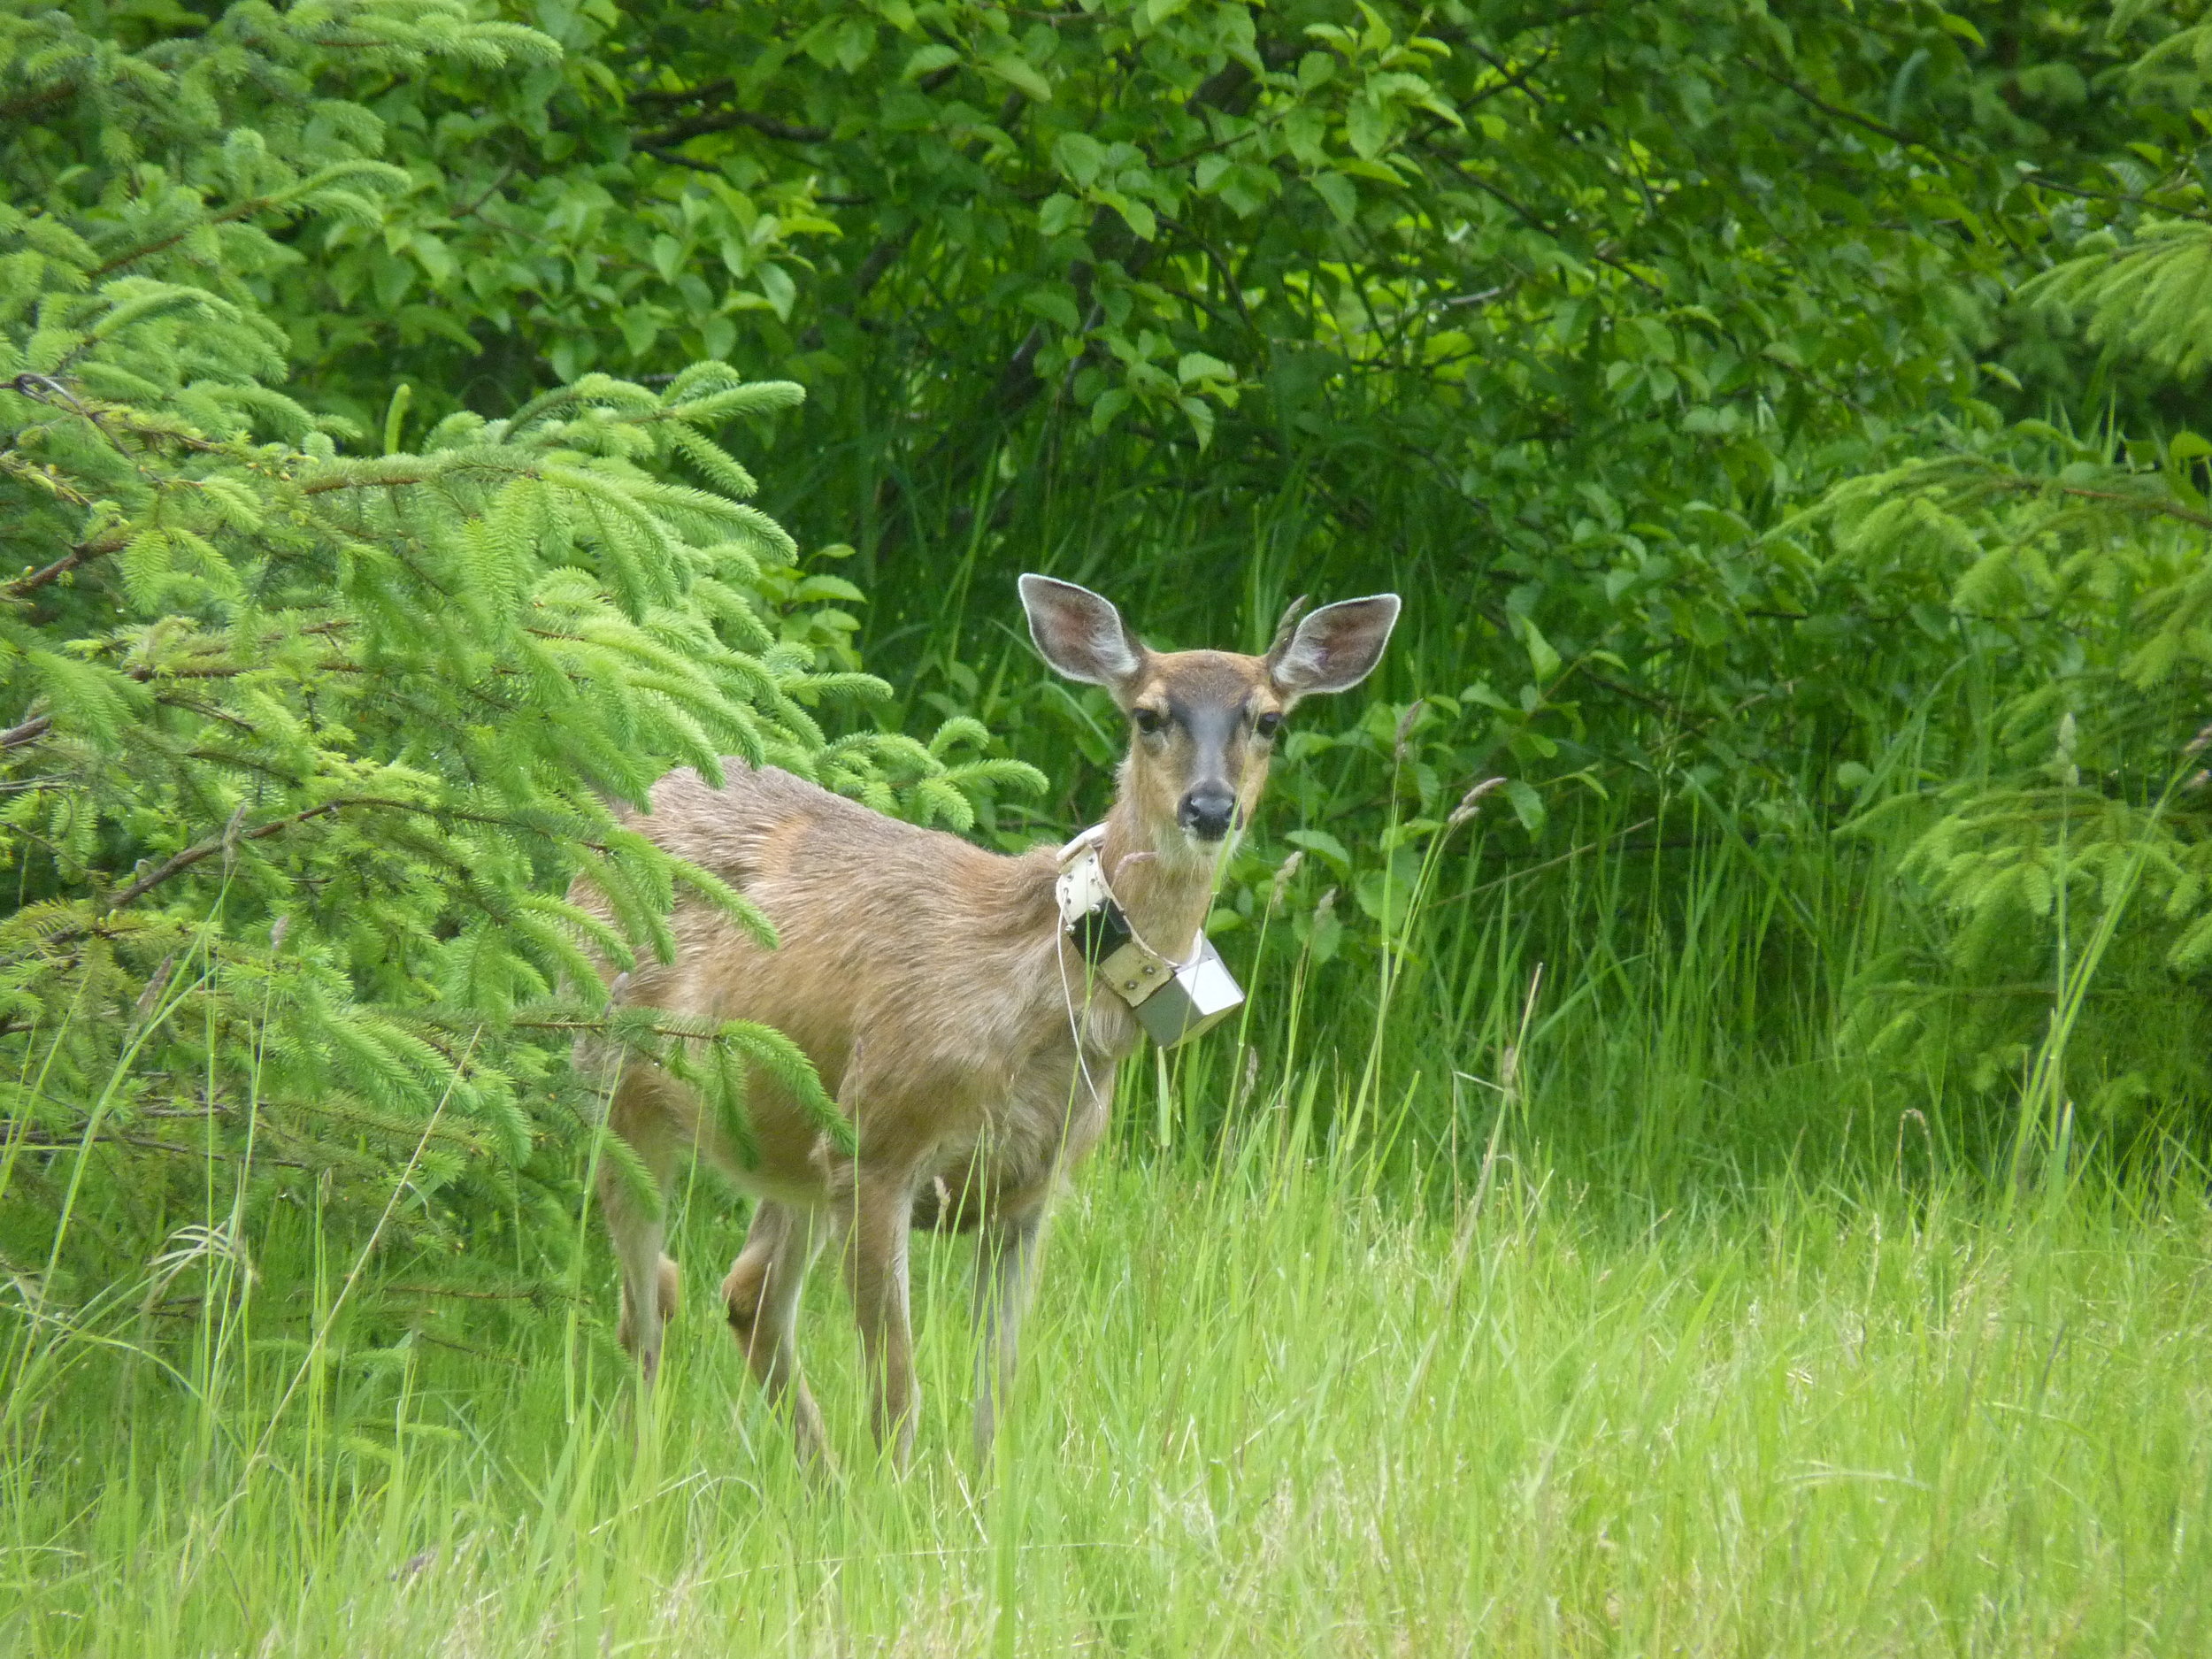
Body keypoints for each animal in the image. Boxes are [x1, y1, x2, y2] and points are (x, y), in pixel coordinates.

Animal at [580, 571, 1389, 1469]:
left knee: (744, 1291)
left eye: (1269, 719)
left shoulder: (1031, 1188)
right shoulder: (877, 1140)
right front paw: (891, 1496)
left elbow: (994, 1389)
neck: (1035, 999)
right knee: (647, 1306)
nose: (1210, 807)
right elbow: (897, 1392)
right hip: (619, 1083)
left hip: (791, 1143)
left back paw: (815, 1475)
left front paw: (973, 1490)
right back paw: (644, 1469)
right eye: (1148, 714)